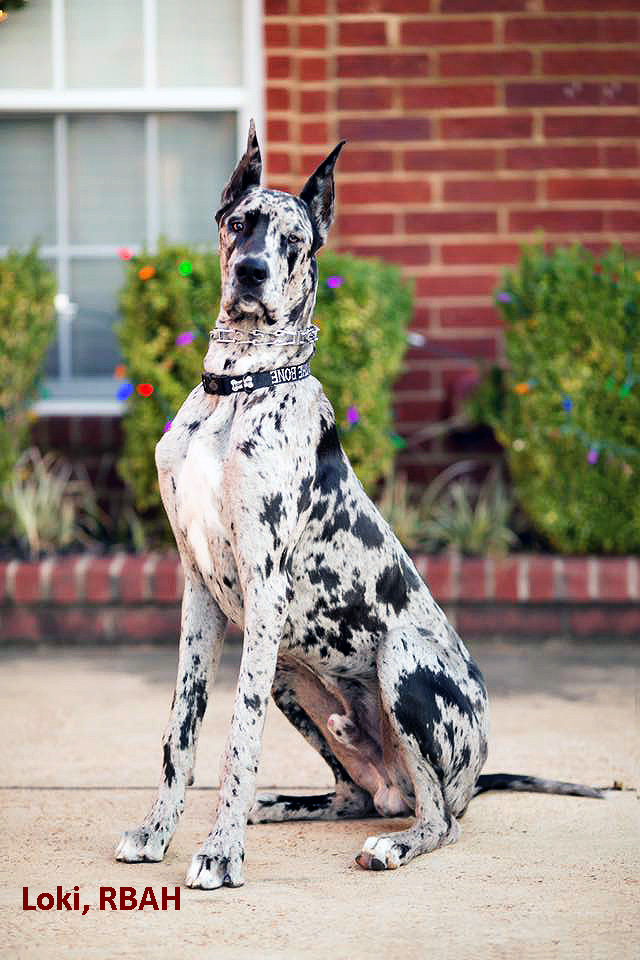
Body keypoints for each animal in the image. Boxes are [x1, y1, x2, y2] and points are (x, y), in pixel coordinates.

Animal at [116, 124, 604, 888]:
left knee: (437, 819)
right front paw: (158, 831)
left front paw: (221, 853)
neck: (239, 388)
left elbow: (237, 736)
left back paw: (392, 845)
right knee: (363, 793)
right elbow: (182, 730)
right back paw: (285, 805)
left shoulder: (263, 588)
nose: (251, 272)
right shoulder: (198, 590)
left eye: (294, 240)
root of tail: (473, 779)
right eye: (239, 224)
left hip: (400, 665)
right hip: (295, 680)